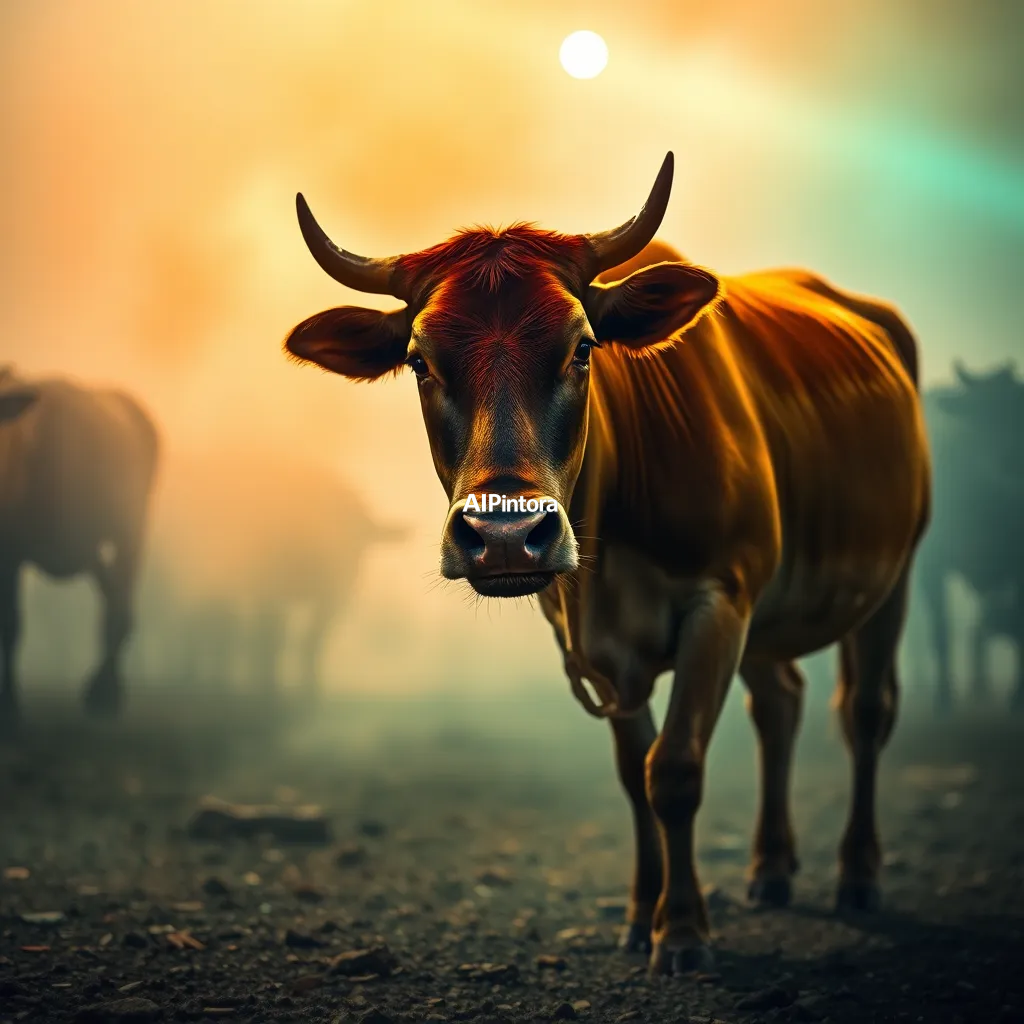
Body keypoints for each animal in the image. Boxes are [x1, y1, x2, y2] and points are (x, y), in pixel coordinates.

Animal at [0, 367, 159, 728]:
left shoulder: (12, 549)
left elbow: (10, 623)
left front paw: (10, 706)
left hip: (130, 530)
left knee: (119, 608)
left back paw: (104, 695)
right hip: (90, 550)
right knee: (113, 598)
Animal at [280, 153, 931, 975]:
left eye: (583, 346)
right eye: (420, 361)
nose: (504, 536)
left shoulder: (721, 601)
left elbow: (674, 768)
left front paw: (680, 930)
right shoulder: (599, 640)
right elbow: (633, 771)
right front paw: (638, 913)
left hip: (892, 575)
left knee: (864, 713)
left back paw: (857, 876)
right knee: (780, 703)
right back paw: (772, 868)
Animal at [912, 362, 1024, 711]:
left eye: (1019, 409)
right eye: (979, 413)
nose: (1010, 458)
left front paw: (1016, 697)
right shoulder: (931, 567)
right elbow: (941, 630)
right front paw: (942, 699)